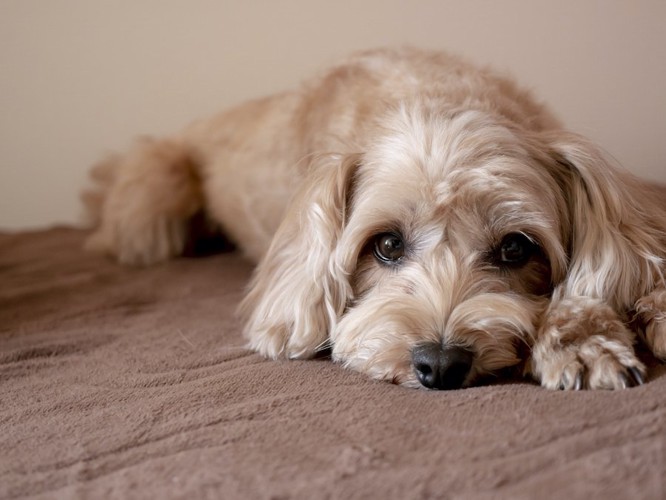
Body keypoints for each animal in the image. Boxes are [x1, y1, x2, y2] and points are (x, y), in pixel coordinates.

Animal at [84, 47, 664, 390]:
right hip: (155, 194)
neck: (430, 96)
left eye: (516, 248)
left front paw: (588, 333)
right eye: (386, 245)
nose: (440, 365)